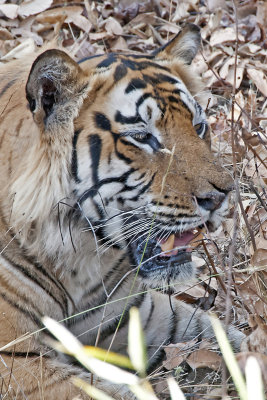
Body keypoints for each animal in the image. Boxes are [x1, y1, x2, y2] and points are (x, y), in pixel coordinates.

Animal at [0, 24, 245, 400]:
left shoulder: (138, 318)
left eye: (199, 126)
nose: (222, 196)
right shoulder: (18, 364)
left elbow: (229, 337)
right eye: (142, 137)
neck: (81, 261)